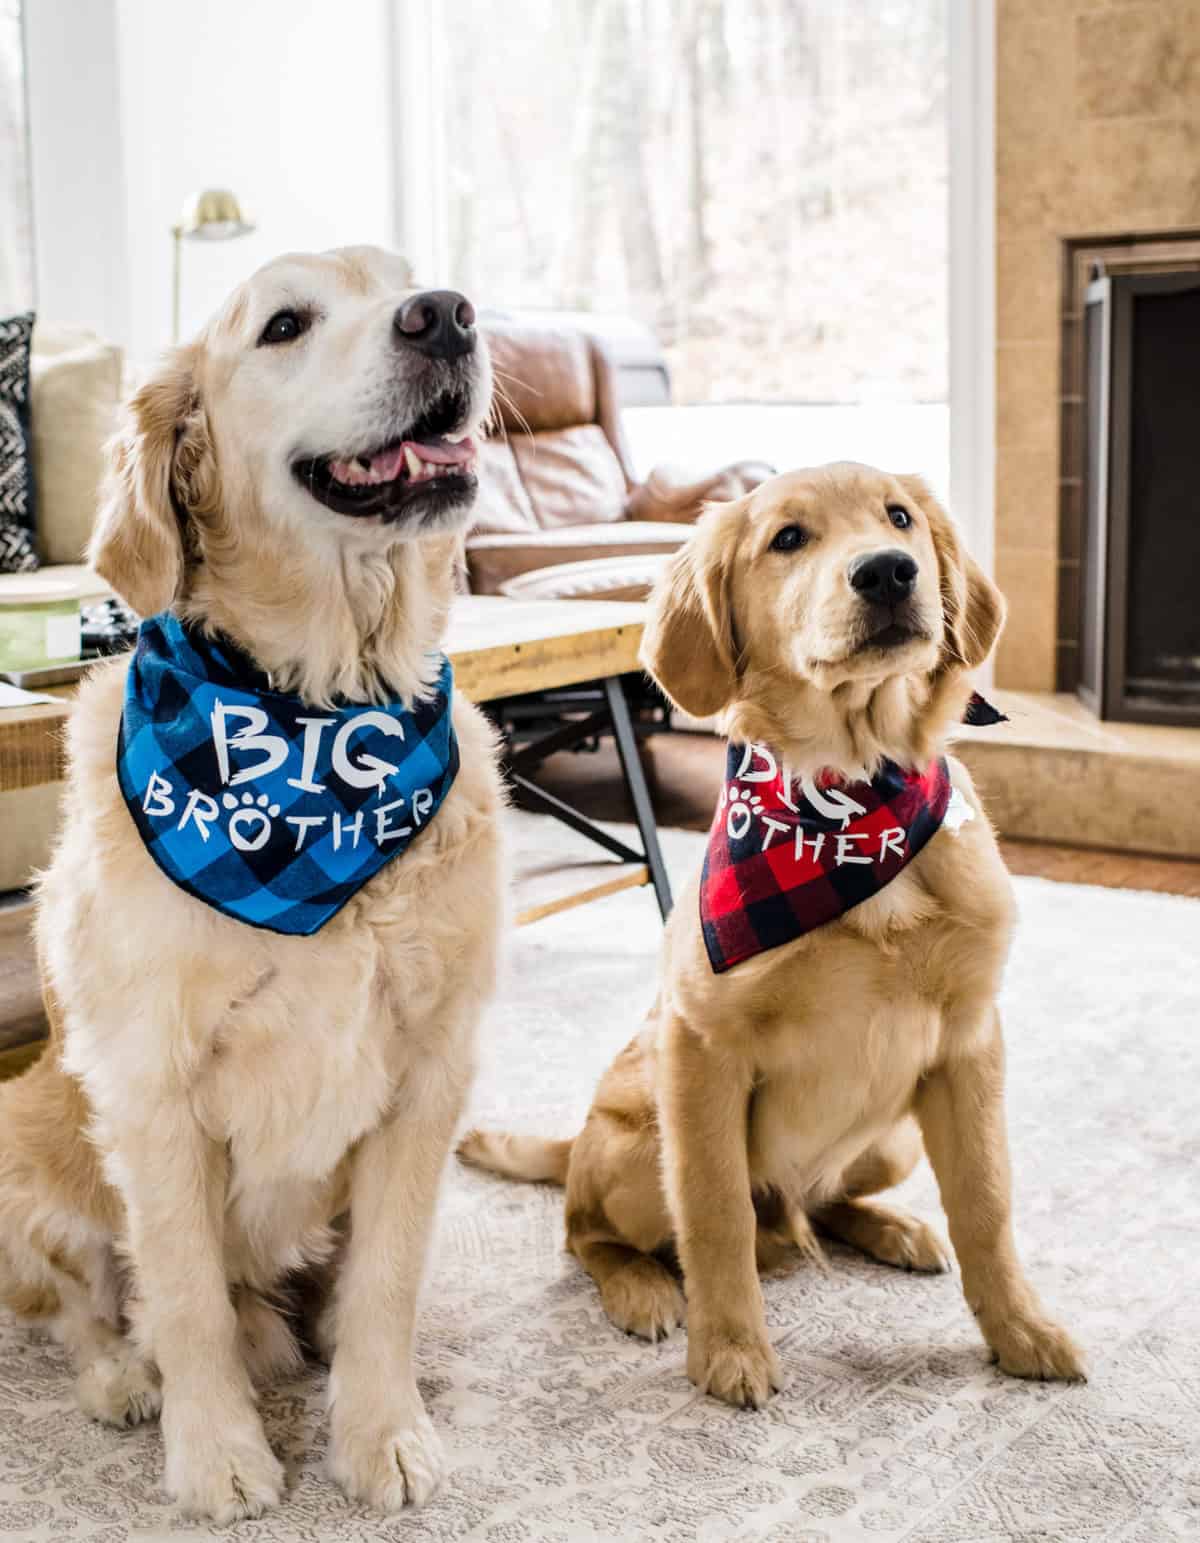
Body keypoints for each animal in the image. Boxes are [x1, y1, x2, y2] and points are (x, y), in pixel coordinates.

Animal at [0, 243, 502, 1518]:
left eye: (410, 281)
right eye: (284, 325)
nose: (448, 316)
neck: (323, 731)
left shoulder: (432, 1070)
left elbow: (387, 1282)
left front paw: (382, 1431)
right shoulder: (151, 1084)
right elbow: (180, 1293)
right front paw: (218, 1450)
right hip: (31, 1148)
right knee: (85, 1308)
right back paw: (126, 1376)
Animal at [462, 465, 1092, 1413]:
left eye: (899, 518)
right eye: (788, 539)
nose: (889, 572)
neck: (855, 803)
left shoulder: (969, 1045)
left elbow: (986, 1201)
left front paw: (1020, 1330)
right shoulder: (702, 1050)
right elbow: (715, 1211)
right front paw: (730, 1349)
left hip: (894, 1136)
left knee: (824, 1203)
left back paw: (893, 1226)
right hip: (639, 1144)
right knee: (586, 1232)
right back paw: (643, 1288)